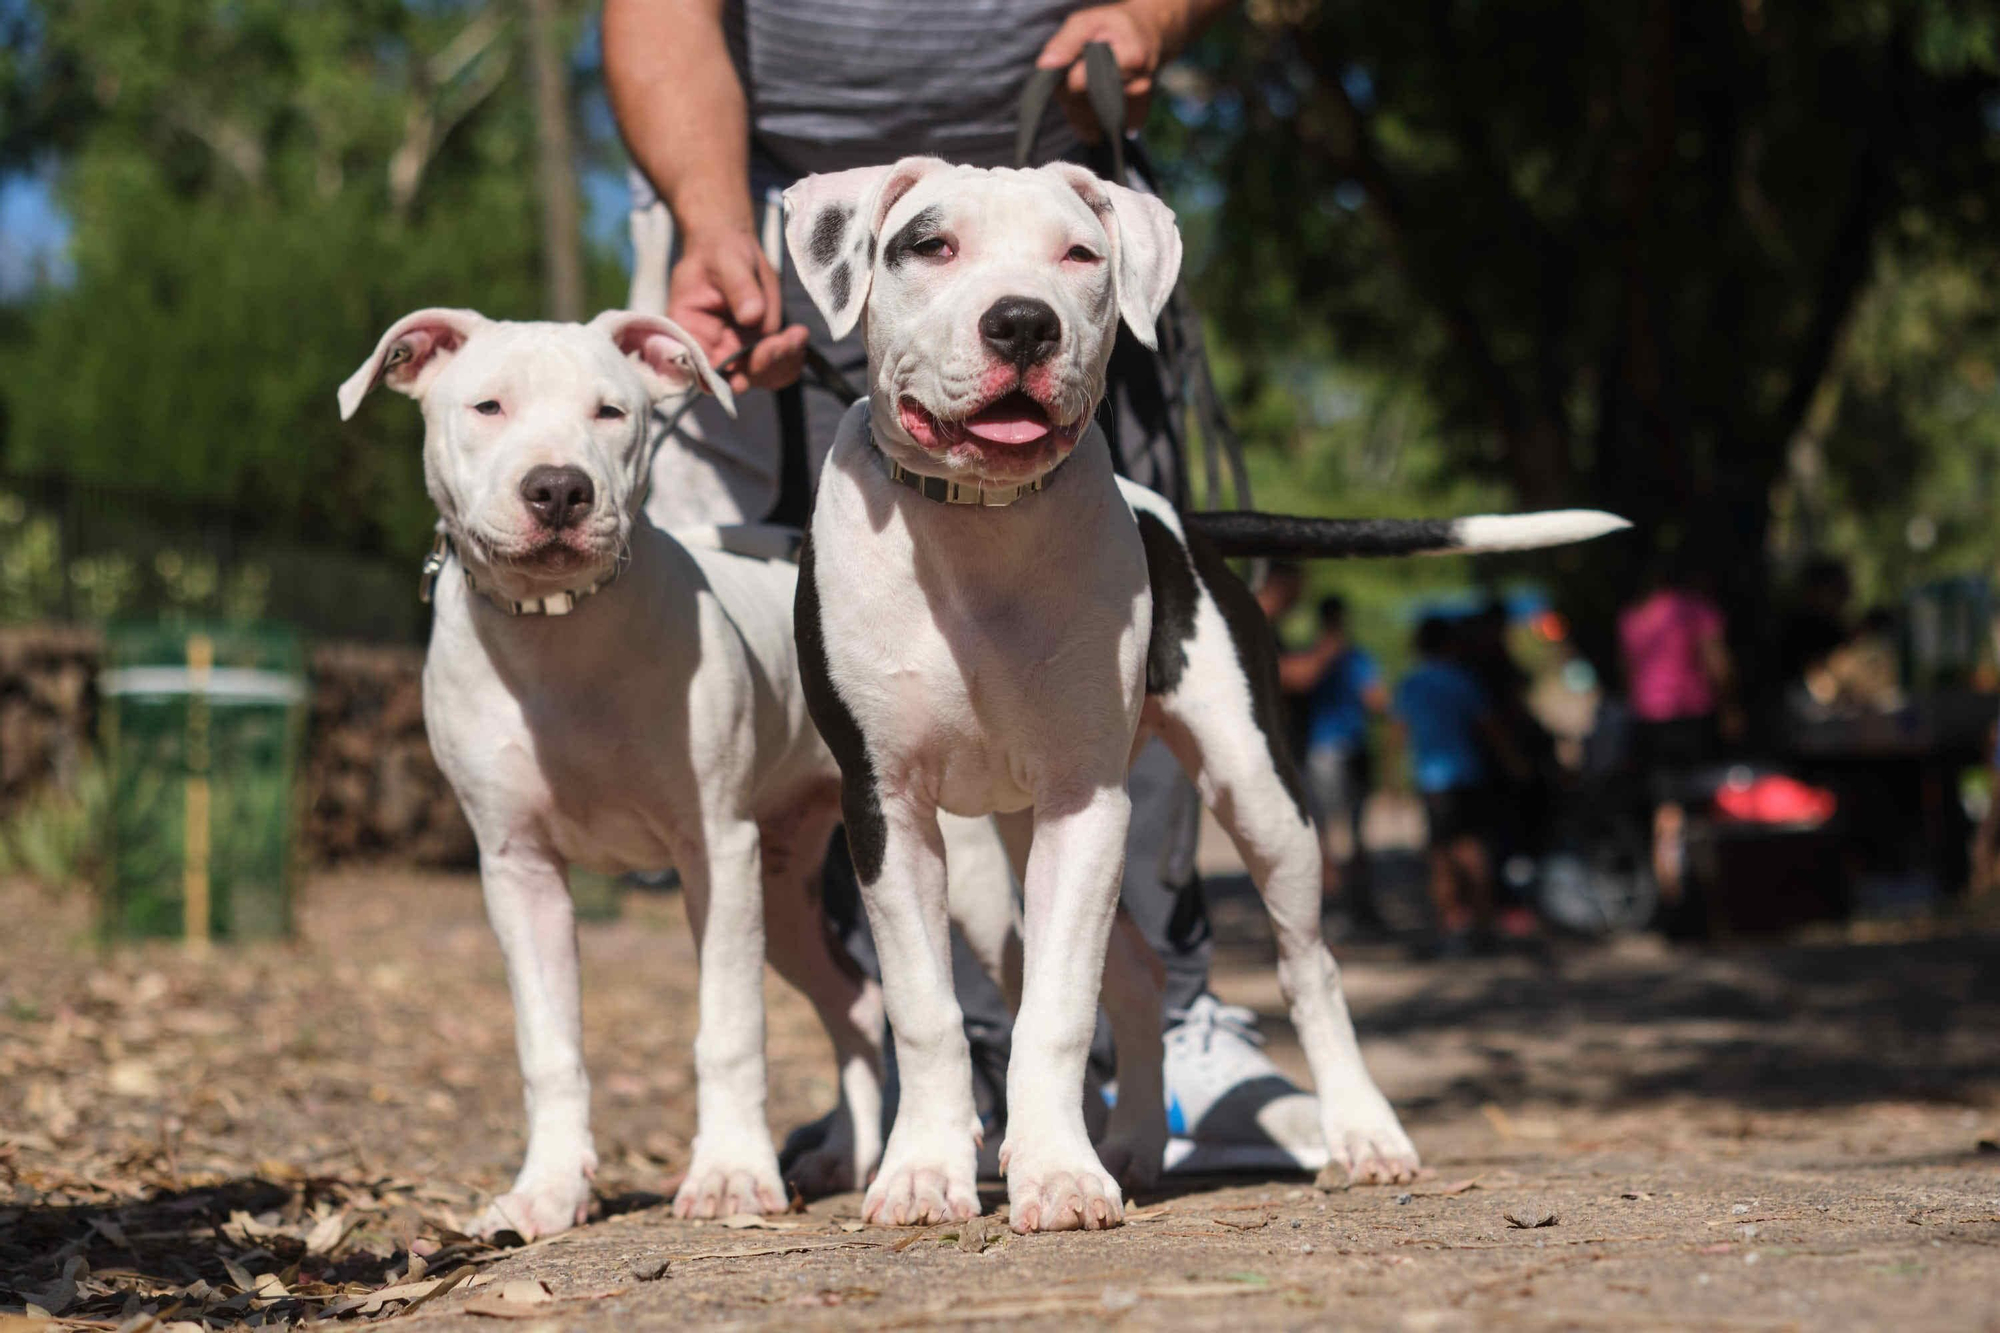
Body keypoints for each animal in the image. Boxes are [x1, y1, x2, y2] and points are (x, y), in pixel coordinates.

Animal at [780, 158, 1624, 1232]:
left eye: (1080, 254)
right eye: (930, 246)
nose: (1023, 324)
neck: (976, 530)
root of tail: (1183, 515)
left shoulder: (1086, 802)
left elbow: (1059, 1007)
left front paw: (1055, 1174)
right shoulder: (884, 806)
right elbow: (927, 1009)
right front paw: (927, 1171)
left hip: (1260, 797)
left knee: (1308, 967)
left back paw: (1362, 1133)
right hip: (987, 861)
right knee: (1137, 977)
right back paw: (1136, 1141)